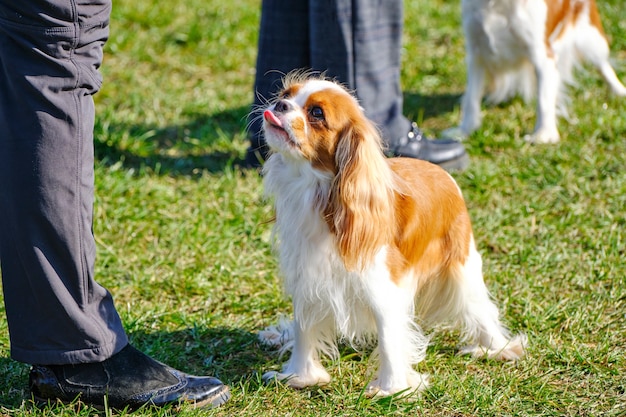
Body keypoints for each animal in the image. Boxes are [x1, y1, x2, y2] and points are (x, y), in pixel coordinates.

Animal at [256, 72, 524, 396]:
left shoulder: (383, 286)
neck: (315, 190)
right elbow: (303, 328)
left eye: (316, 113)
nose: (279, 105)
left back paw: (498, 348)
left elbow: (388, 337)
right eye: (286, 95)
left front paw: (391, 389)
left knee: (480, 307)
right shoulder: (308, 279)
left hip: (462, 266)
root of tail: (443, 174)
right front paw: (300, 376)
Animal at [448, 0, 624, 143]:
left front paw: (543, 135)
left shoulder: (543, 57)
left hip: (591, 39)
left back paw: (619, 91)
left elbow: (543, 99)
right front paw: (465, 130)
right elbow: (471, 97)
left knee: (603, 65)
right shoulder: (476, 53)